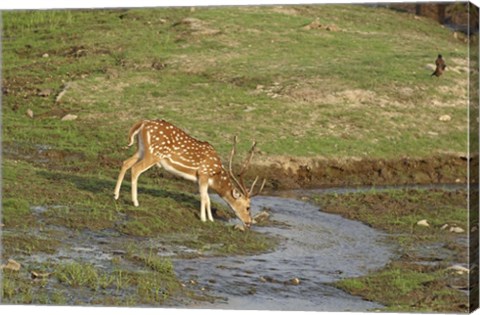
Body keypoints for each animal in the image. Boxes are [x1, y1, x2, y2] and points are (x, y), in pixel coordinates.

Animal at [114, 120, 264, 227]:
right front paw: (203, 219)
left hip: (141, 149)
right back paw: (135, 202)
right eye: (248, 207)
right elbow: (204, 197)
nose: (248, 222)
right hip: (154, 153)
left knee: (125, 163)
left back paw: (115, 195)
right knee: (135, 169)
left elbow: (207, 198)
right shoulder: (204, 173)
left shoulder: (199, 178)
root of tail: (142, 123)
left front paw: (210, 219)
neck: (215, 175)